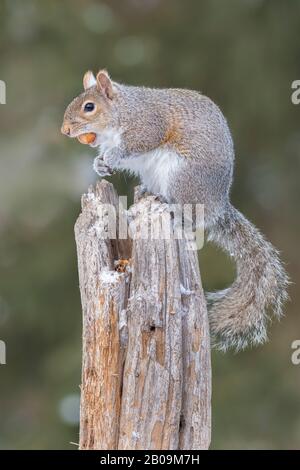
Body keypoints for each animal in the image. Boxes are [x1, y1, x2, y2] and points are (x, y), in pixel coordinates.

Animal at [61, 69, 288, 348]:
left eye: (89, 107)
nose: (65, 129)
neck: (124, 109)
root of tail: (218, 205)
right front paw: (99, 164)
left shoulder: (148, 124)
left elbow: (135, 144)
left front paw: (112, 157)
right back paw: (147, 192)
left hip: (182, 177)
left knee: (189, 216)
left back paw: (169, 205)